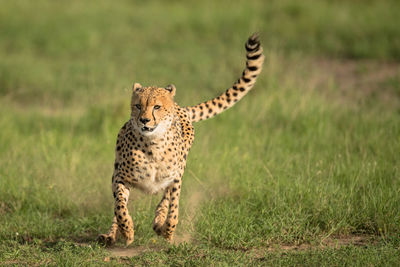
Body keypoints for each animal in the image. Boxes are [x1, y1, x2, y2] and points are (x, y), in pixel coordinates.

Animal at [98, 34, 264, 247]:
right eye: (137, 106)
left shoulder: (175, 178)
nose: (144, 120)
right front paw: (127, 231)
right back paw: (110, 235)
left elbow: (173, 208)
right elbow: (119, 207)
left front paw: (168, 231)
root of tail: (179, 107)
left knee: (164, 200)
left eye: (156, 107)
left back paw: (158, 223)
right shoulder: (120, 177)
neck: (152, 145)